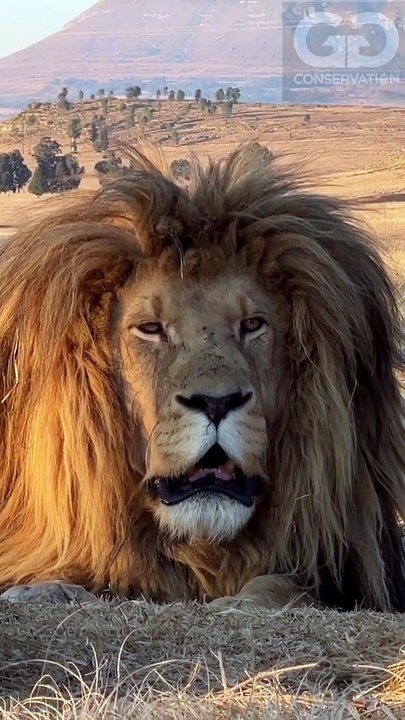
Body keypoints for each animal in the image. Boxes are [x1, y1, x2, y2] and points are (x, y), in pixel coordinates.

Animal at [0, 143, 403, 612]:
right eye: (150, 328)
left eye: (252, 325)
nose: (216, 403)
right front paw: (40, 590)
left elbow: (281, 584)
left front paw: (244, 602)